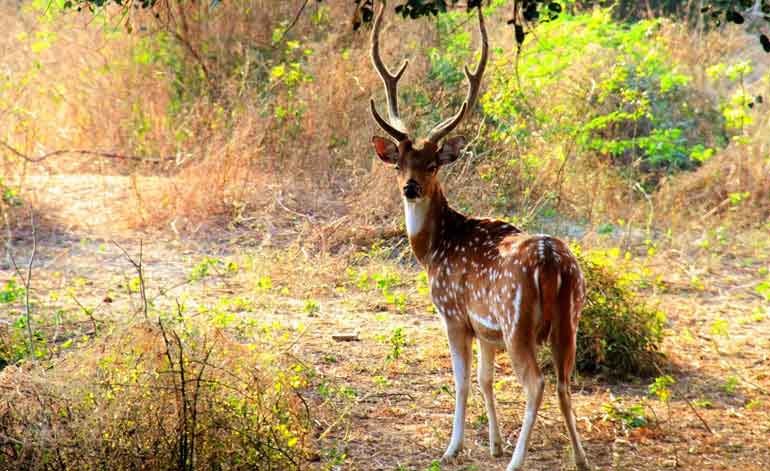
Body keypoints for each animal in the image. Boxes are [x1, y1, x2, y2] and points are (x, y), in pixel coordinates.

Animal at [366, 1, 588, 470]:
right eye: (401, 163)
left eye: (433, 164)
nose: (410, 188)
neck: (433, 250)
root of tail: (552, 264)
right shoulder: (485, 329)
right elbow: (486, 379)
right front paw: (493, 442)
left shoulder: (453, 313)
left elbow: (464, 382)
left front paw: (454, 447)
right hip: (569, 318)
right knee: (563, 381)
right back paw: (578, 458)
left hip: (517, 321)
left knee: (537, 383)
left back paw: (517, 461)